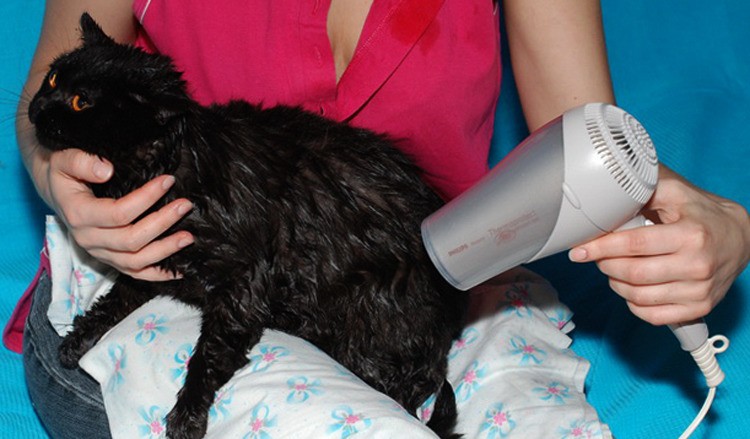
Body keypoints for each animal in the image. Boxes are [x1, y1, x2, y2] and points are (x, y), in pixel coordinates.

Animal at [28, 13, 467, 439]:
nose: (36, 105)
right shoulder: (149, 258)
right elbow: (115, 298)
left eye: (81, 102)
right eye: (52, 78)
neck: (155, 168)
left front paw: (188, 413)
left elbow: (209, 352)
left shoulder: (244, 285)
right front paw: (79, 336)